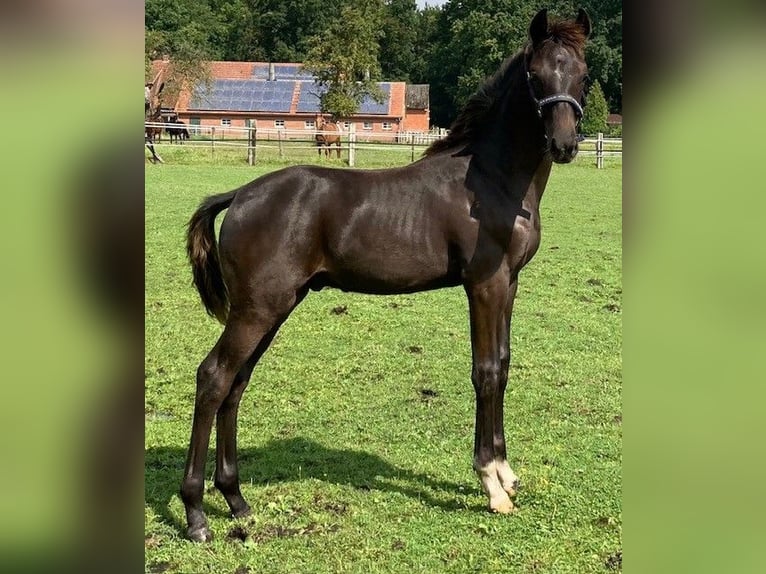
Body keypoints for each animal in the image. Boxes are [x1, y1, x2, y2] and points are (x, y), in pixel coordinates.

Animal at [180, 7, 592, 544]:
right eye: (535, 75)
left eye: (582, 74)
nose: (564, 145)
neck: (491, 183)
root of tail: (241, 194)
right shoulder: (484, 284)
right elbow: (484, 371)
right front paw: (491, 484)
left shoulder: (510, 284)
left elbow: (502, 366)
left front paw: (505, 473)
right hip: (257, 309)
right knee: (214, 377)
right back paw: (196, 515)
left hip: (273, 307)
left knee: (236, 382)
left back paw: (236, 501)